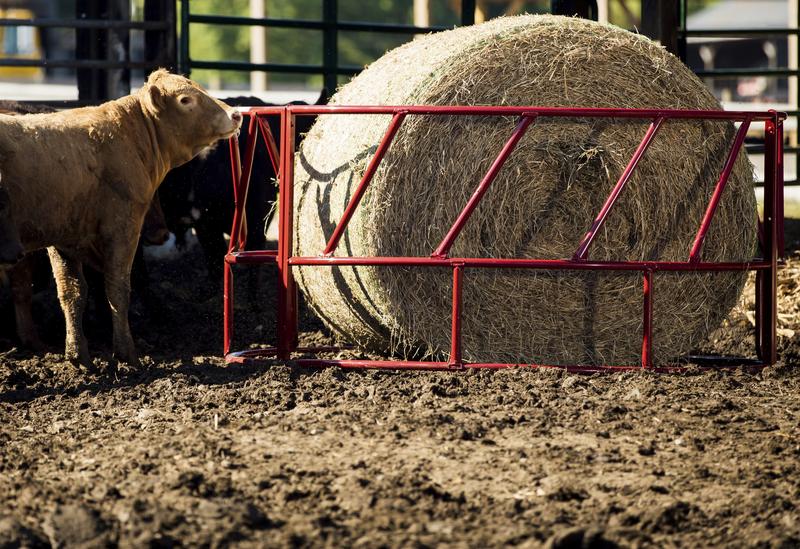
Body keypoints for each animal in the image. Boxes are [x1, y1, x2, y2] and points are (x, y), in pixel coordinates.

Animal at [0, 69, 242, 366]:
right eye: (185, 99)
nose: (235, 114)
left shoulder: (63, 239)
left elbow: (72, 292)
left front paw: (78, 355)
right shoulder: (122, 228)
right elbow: (117, 288)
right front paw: (127, 353)